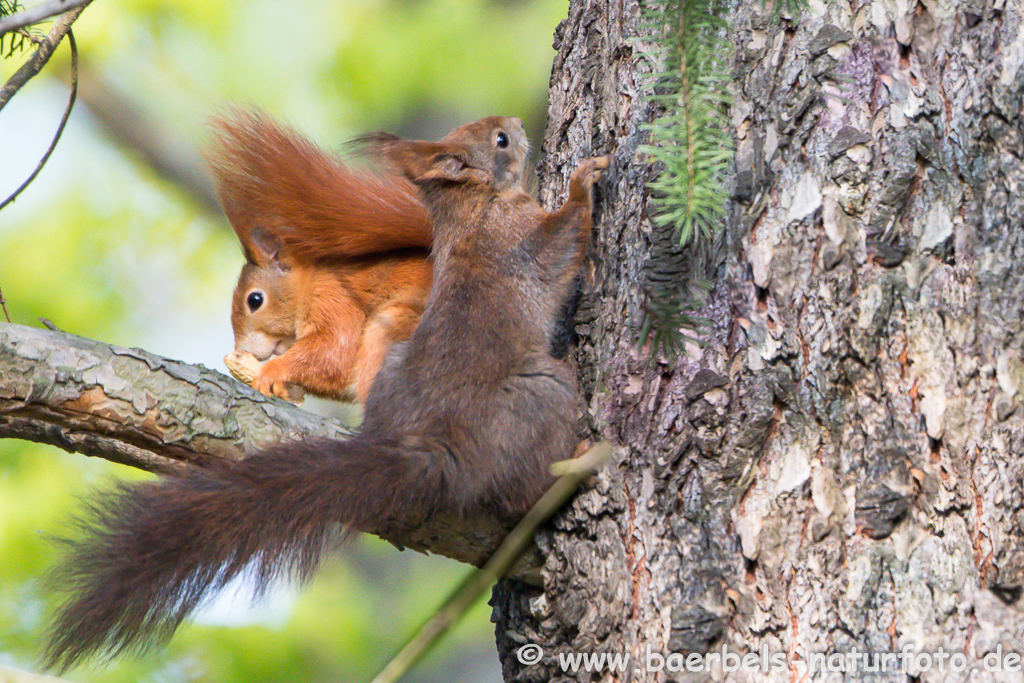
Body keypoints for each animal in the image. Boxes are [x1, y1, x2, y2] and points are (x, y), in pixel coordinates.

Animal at [207, 109, 432, 403]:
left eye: (255, 300)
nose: (243, 350)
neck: (309, 279)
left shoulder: (333, 298)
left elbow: (334, 352)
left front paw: (271, 371)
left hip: (395, 329)